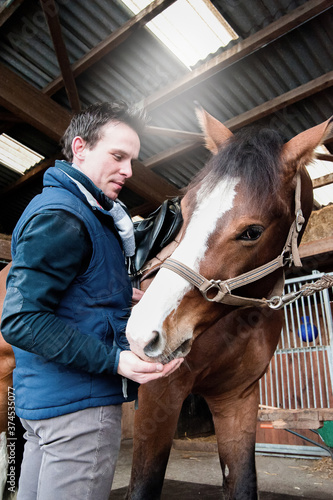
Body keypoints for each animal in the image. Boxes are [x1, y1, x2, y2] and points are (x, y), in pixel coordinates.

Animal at [124, 106, 330, 500]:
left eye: (252, 232)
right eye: (186, 209)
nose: (143, 334)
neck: (236, 323)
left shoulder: (237, 401)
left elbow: (242, 482)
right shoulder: (157, 398)